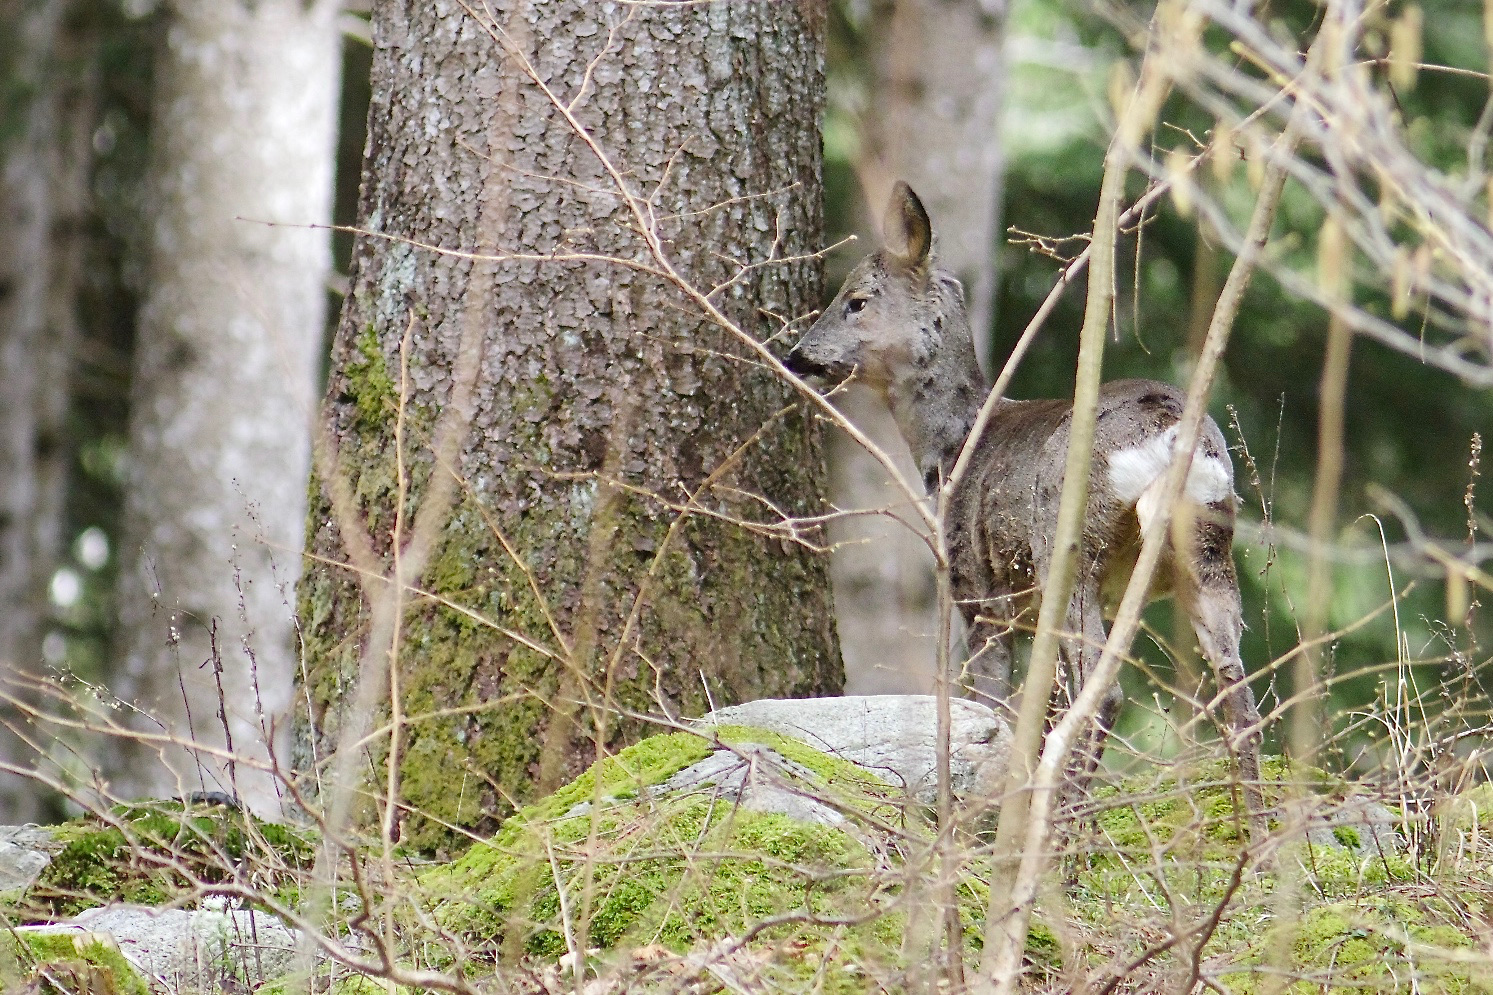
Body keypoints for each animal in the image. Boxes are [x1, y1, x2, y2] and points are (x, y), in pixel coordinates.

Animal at [786, 181, 1264, 815]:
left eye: (856, 300)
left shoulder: (979, 592)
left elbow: (991, 710)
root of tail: (1169, 434)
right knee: (1240, 699)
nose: (797, 355)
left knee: (1104, 696)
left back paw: (1065, 823)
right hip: (1209, 548)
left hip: (1070, 548)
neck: (954, 448)